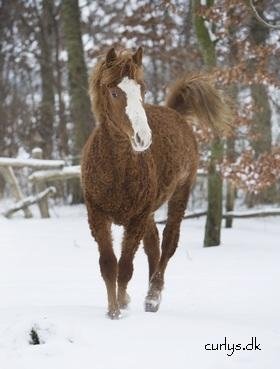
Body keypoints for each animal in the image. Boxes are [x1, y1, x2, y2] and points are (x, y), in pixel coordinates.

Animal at [81, 45, 230, 316]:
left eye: (142, 89)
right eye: (114, 92)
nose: (143, 138)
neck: (117, 170)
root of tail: (175, 113)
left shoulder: (136, 218)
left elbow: (125, 267)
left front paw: (121, 307)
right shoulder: (98, 215)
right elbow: (109, 265)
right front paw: (114, 309)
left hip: (180, 193)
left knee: (169, 241)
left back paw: (153, 296)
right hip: (149, 211)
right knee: (154, 244)